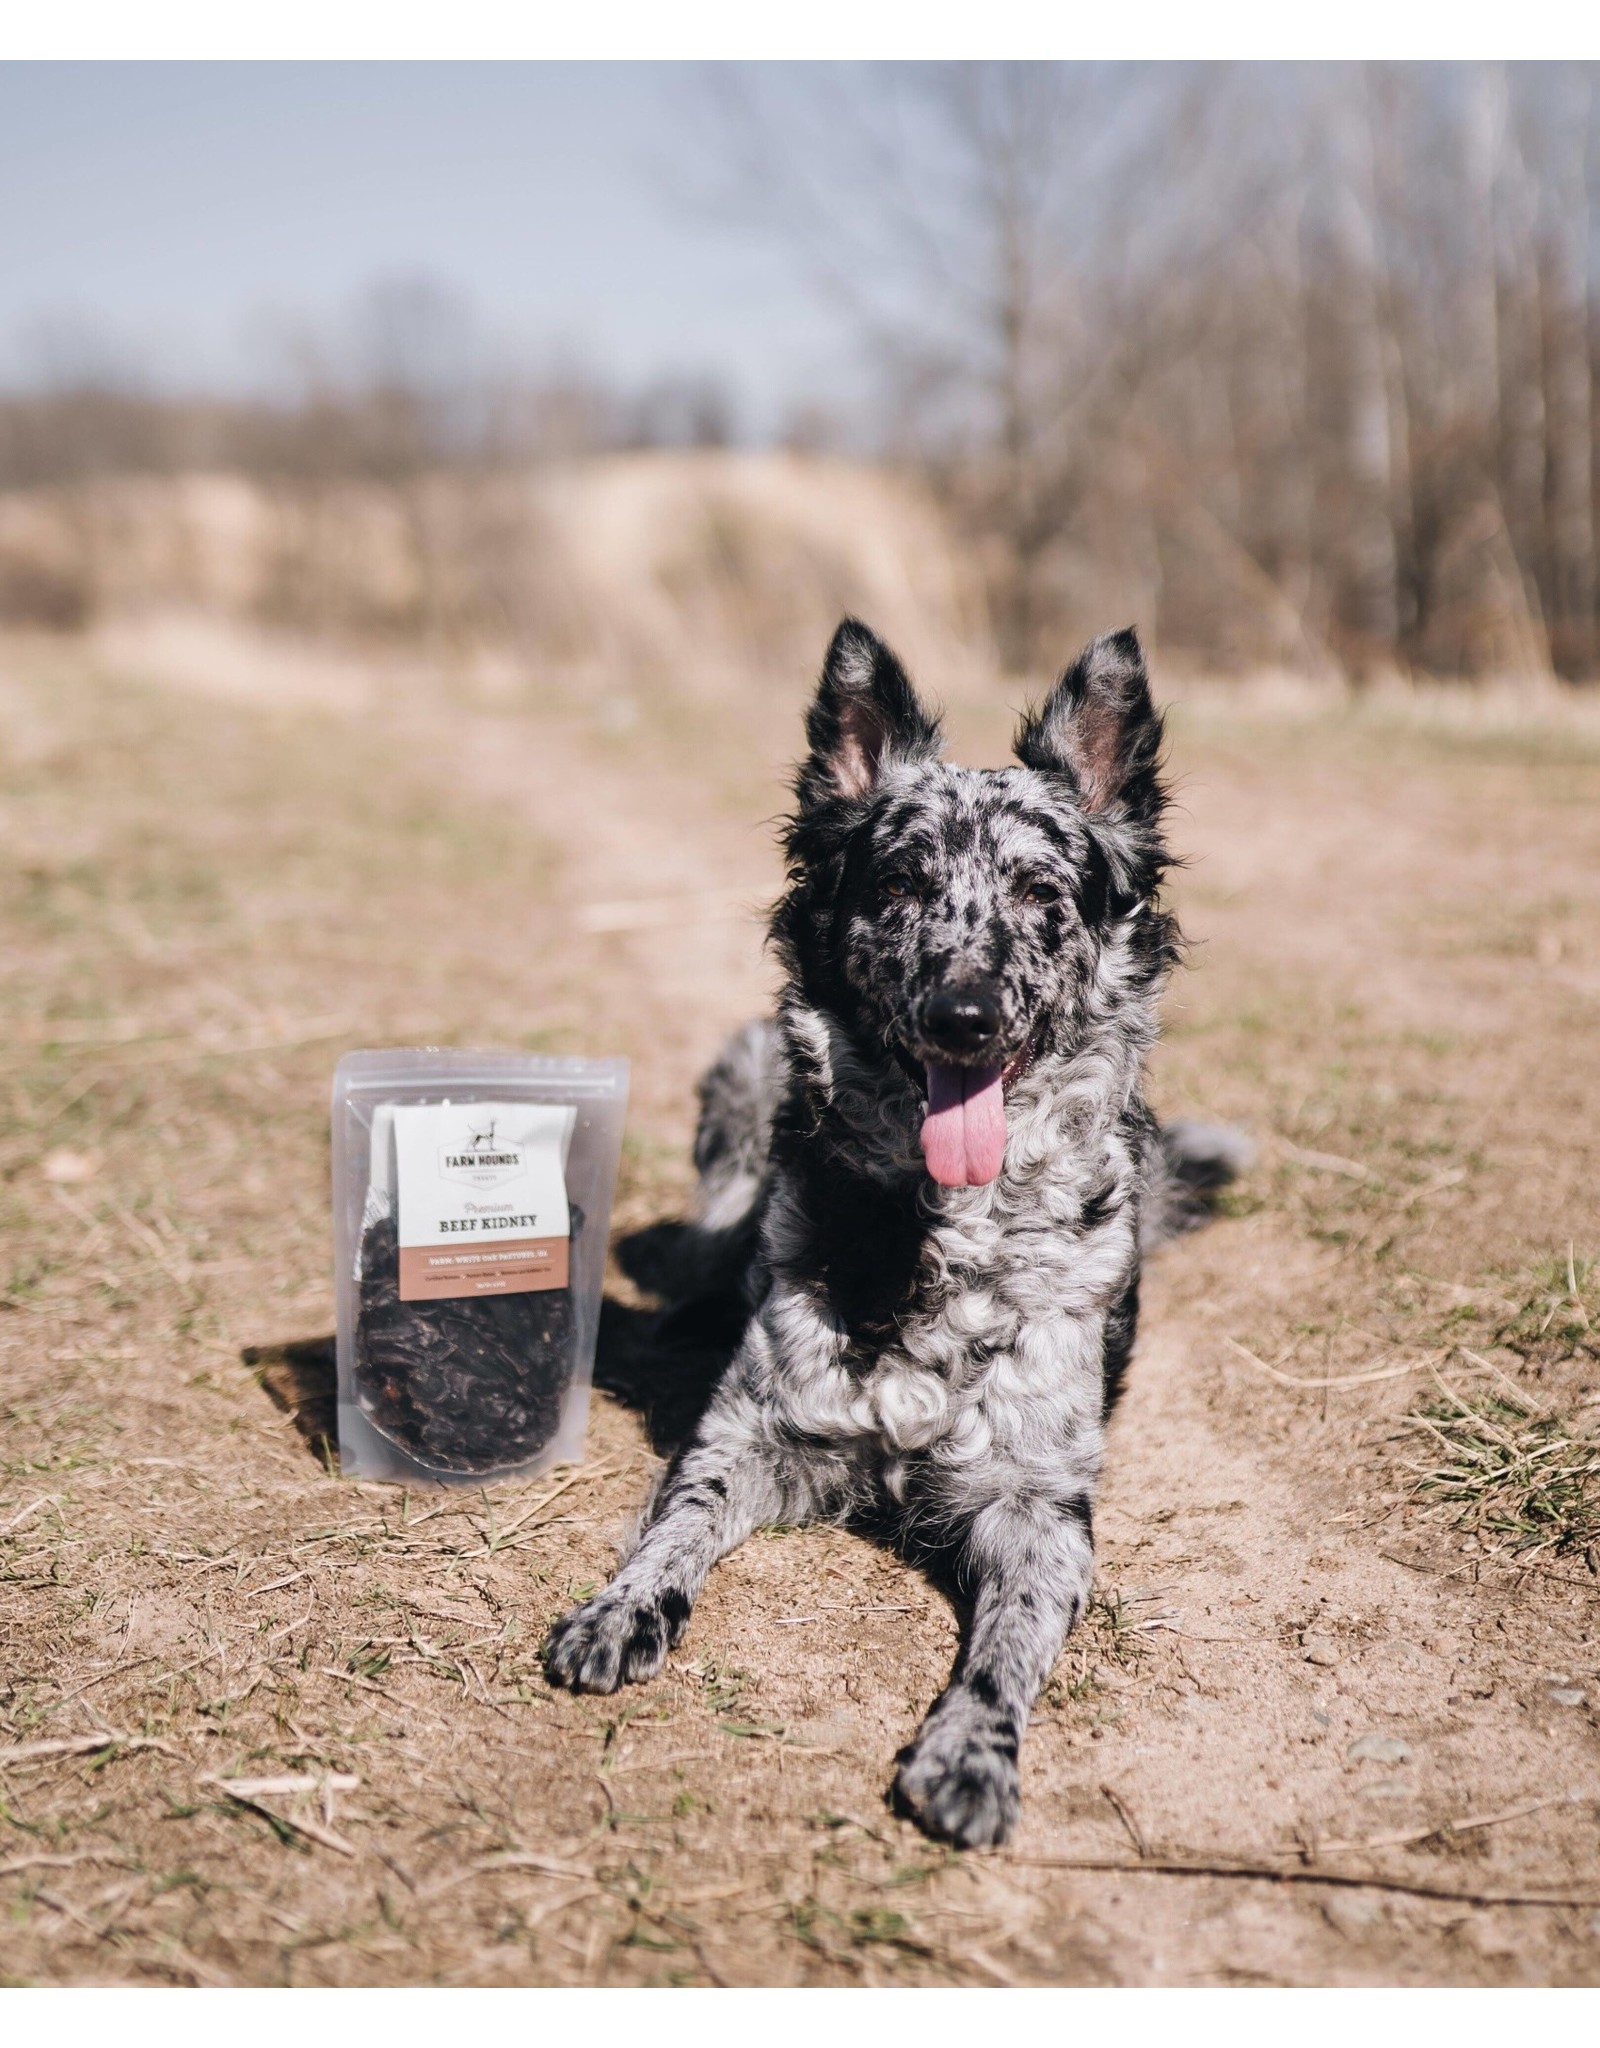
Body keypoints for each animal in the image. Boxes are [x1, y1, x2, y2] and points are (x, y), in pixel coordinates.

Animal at [549, 614, 1245, 1851]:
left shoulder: (1039, 1505)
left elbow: (1009, 1645)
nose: (961, 1015)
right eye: (902, 881)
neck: (947, 1230)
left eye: (1038, 889)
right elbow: (673, 1527)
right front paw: (623, 1606)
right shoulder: (747, 1436)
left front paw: (971, 1751)